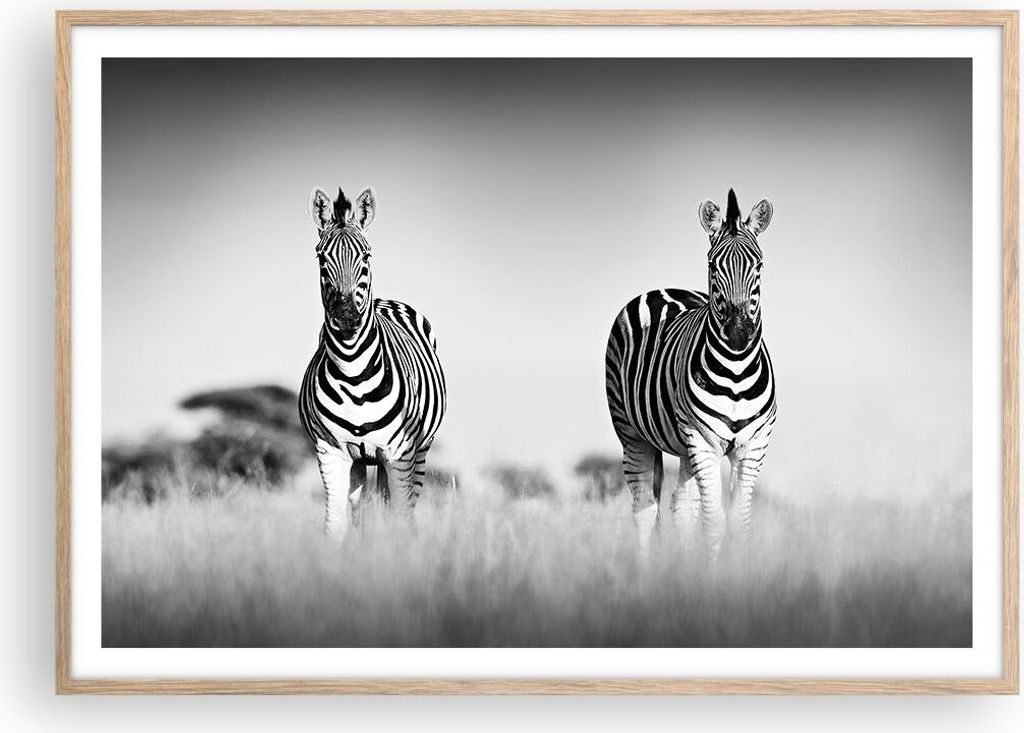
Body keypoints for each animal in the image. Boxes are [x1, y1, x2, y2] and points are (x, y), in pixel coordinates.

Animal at [299, 186, 446, 541]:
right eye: (321, 258)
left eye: (366, 256)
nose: (347, 317)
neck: (353, 373)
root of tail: (385, 300)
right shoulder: (331, 453)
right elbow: (336, 525)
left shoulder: (400, 454)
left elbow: (400, 519)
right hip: (362, 460)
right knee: (363, 508)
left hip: (419, 452)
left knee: (401, 508)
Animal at [604, 189, 776, 560]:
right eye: (713, 265)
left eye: (759, 265)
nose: (739, 333)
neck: (736, 369)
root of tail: (662, 288)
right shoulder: (702, 440)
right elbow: (714, 521)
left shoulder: (753, 445)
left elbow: (738, 522)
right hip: (632, 433)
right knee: (645, 507)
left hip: (683, 447)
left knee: (681, 506)